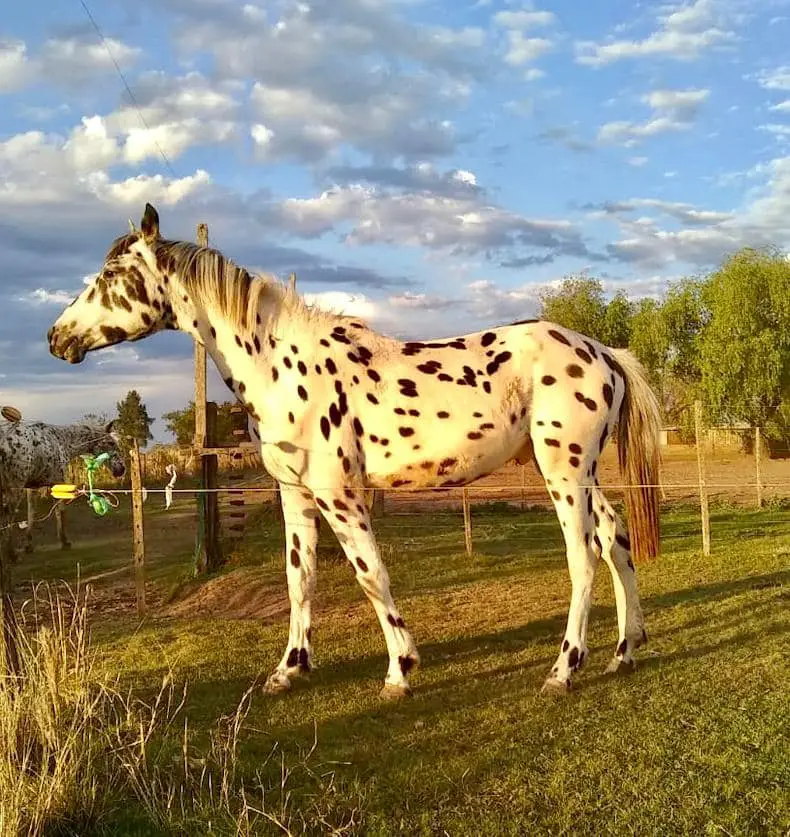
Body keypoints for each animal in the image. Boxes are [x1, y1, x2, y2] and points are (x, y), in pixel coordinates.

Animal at [0, 419, 125, 557]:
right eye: (111, 443)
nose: (121, 469)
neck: (62, 440)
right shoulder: (57, 483)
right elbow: (60, 511)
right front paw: (64, 541)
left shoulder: (32, 488)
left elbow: (31, 514)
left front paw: (28, 545)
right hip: (14, 488)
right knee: (8, 514)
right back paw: (11, 554)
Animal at [48, 202, 661, 699]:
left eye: (111, 275)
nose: (57, 338)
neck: (279, 364)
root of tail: (603, 352)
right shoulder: (295, 494)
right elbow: (300, 579)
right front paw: (289, 669)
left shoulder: (337, 493)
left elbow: (371, 574)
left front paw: (400, 671)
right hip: (581, 473)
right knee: (615, 539)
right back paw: (624, 652)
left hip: (565, 472)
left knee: (583, 556)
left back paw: (564, 670)